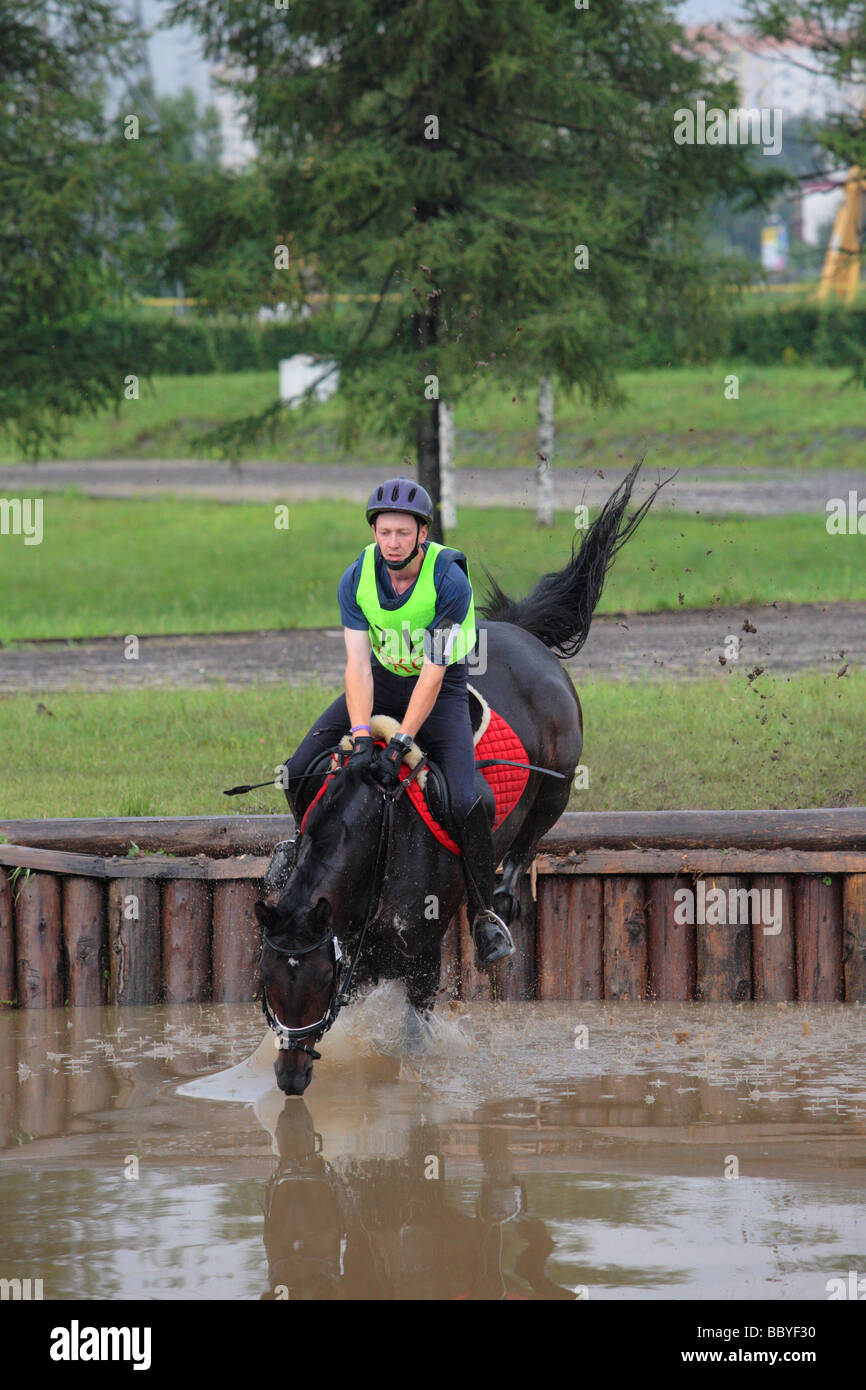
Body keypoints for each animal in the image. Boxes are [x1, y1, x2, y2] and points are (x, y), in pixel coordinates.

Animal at [254, 464, 667, 1095]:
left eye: (319, 983)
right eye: (267, 983)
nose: (291, 1078)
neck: (374, 848)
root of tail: (522, 635)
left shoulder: (419, 963)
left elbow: (411, 1039)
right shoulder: (359, 956)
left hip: (558, 780)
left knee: (527, 833)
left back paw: (501, 902)